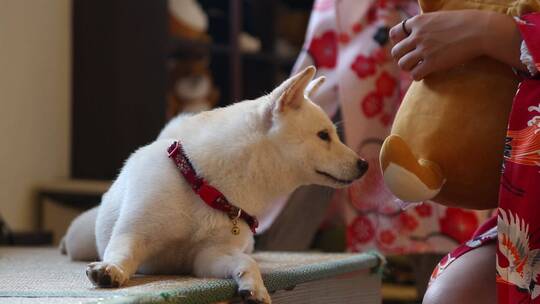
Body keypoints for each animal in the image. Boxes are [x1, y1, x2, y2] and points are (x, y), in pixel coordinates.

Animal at [63, 65, 368, 302]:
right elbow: (122, 253)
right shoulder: (134, 234)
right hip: (82, 237)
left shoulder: (209, 255)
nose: (364, 164)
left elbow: (245, 262)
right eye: (324, 135)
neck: (206, 186)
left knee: (250, 252)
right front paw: (110, 270)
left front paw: (253, 287)